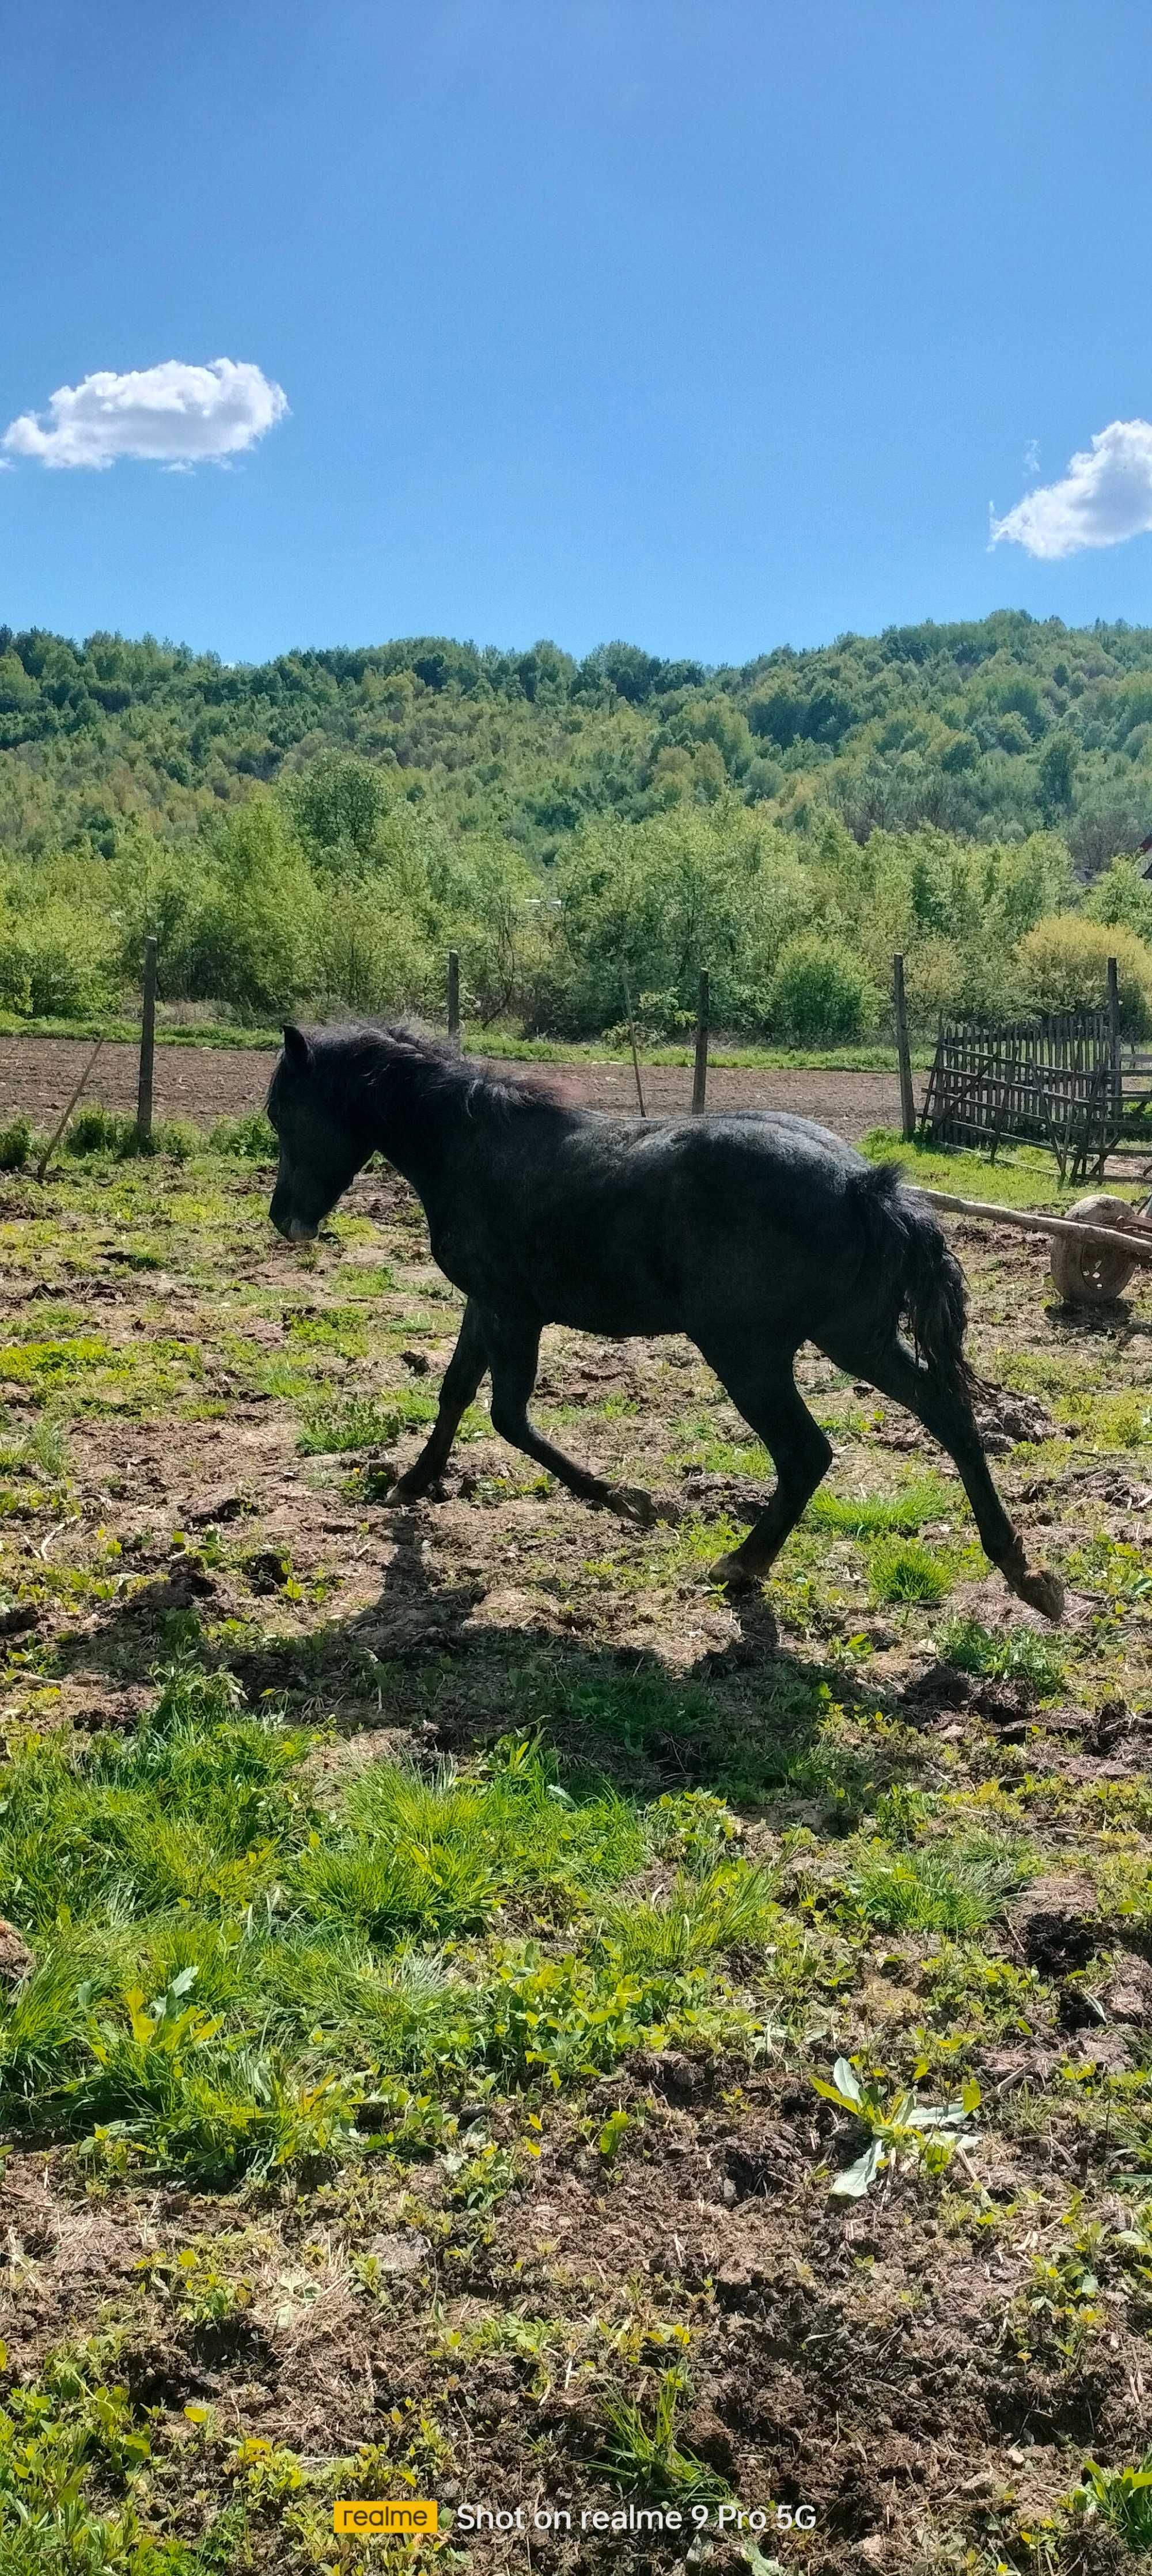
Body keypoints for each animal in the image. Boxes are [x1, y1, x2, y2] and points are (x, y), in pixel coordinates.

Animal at [268, 1020, 1062, 1607]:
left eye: (284, 1112)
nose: (285, 1221)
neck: (475, 1151)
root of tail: (867, 1185)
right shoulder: (485, 1305)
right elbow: (456, 1391)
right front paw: (413, 1481)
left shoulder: (510, 1310)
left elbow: (508, 1416)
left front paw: (626, 1499)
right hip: (854, 1337)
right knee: (947, 1412)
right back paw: (1021, 1569)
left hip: (748, 1352)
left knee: (807, 1451)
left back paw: (742, 1563)